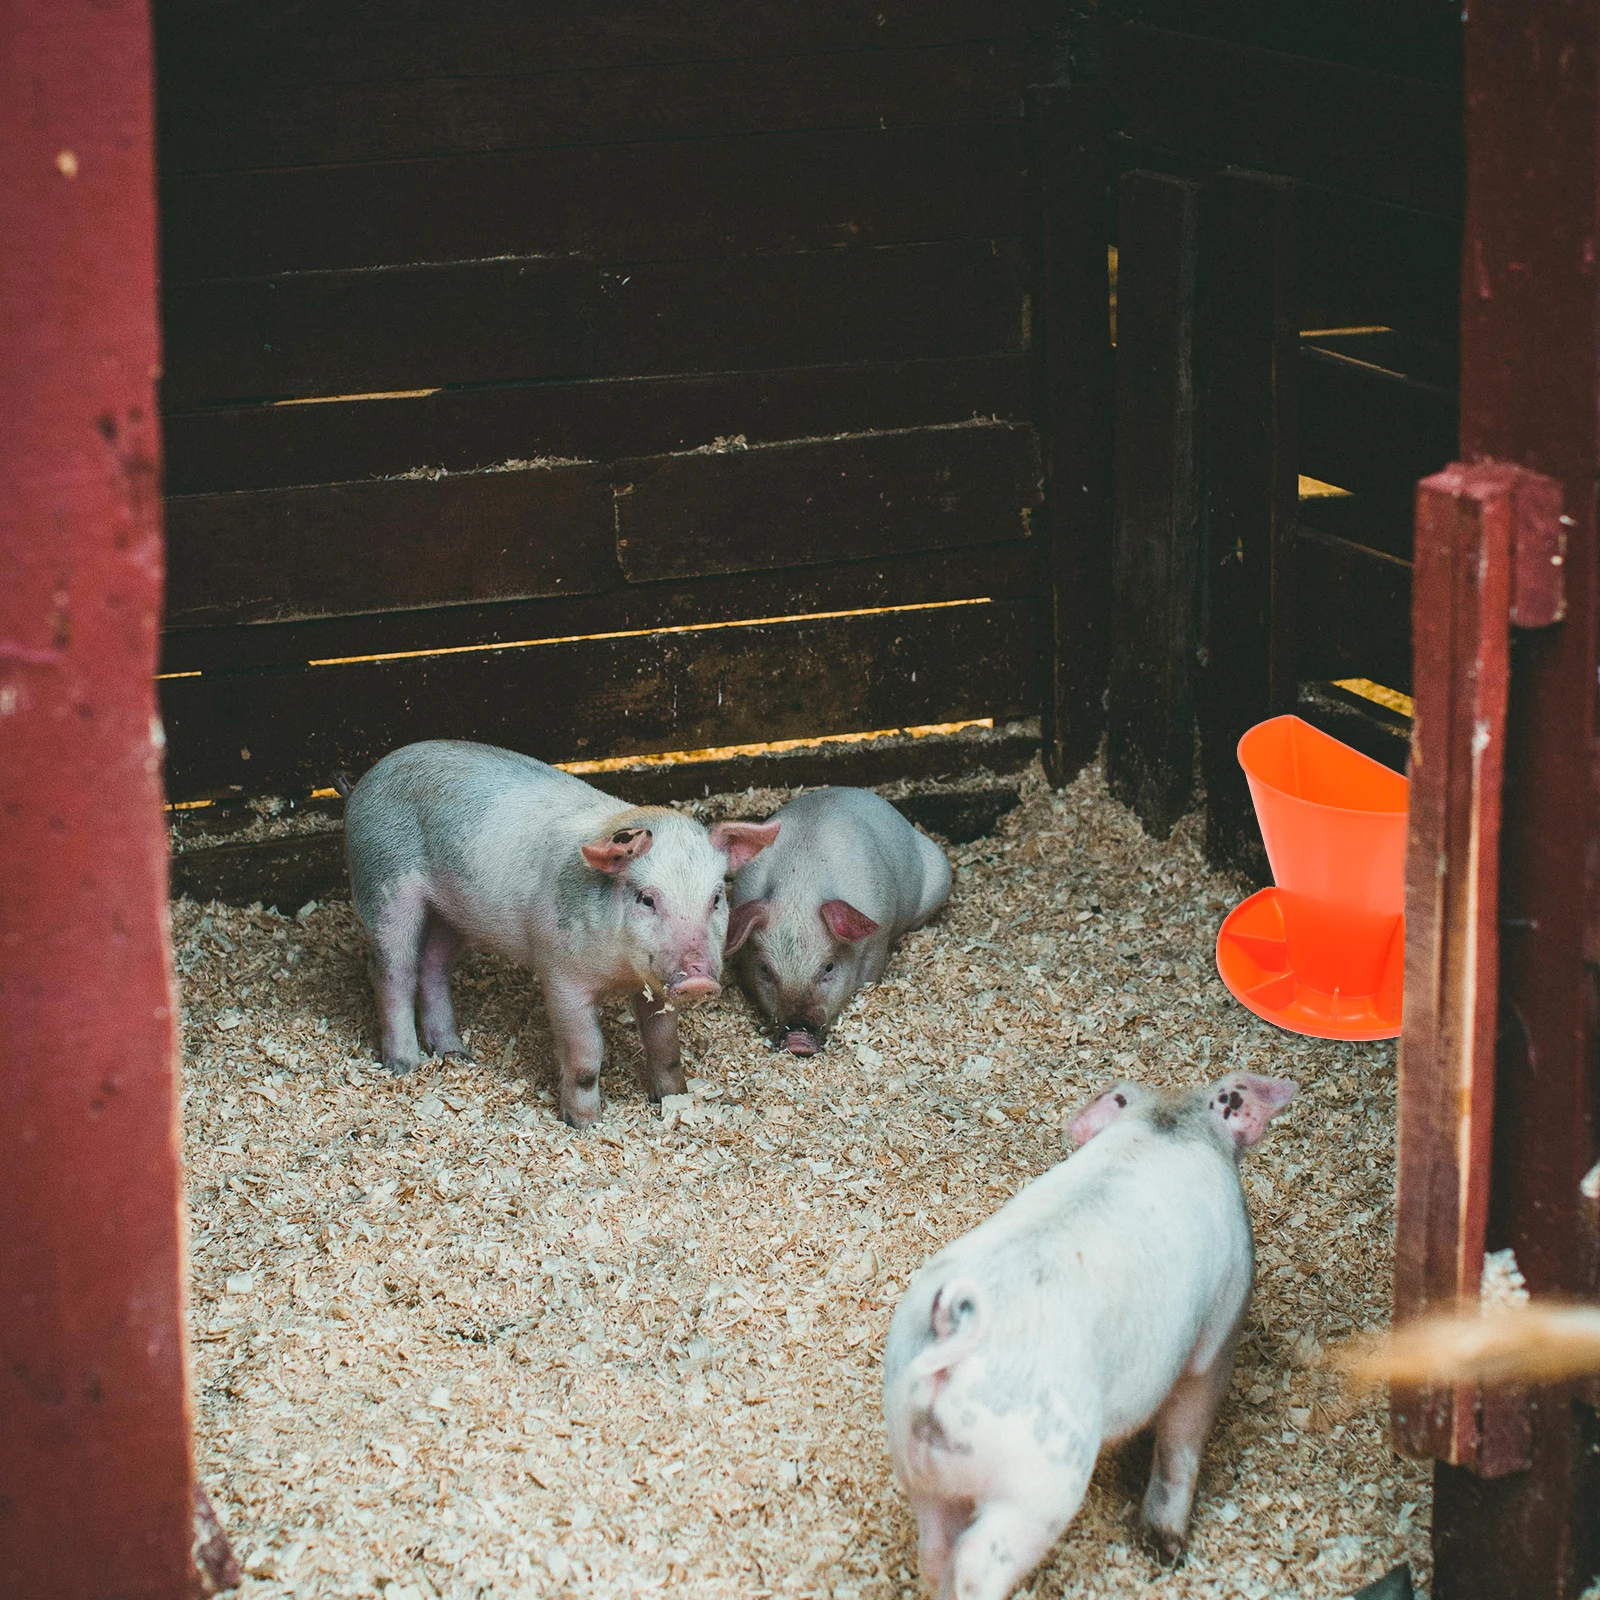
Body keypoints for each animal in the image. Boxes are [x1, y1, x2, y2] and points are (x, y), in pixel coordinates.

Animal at [340, 740, 778, 1127]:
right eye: (647, 899)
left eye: (716, 897)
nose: (698, 978)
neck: (621, 972)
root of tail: (365, 781)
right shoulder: (560, 976)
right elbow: (586, 1054)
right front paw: (584, 1123)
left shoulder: (653, 985)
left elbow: (665, 1043)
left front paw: (673, 1099)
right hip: (384, 885)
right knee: (390, 971)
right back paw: (405, 1065)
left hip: (452, 912)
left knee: (432, 967)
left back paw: (456, 1054)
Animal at [882, 1072, 1298, 1598]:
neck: (1168, 1124)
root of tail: (949, 1331)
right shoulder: (1215, 1337)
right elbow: (1182, 1439)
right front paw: (1166, 1550)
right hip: (1037, 1483)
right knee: (976, 1563)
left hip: (915, 1461)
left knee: (935, 1553)